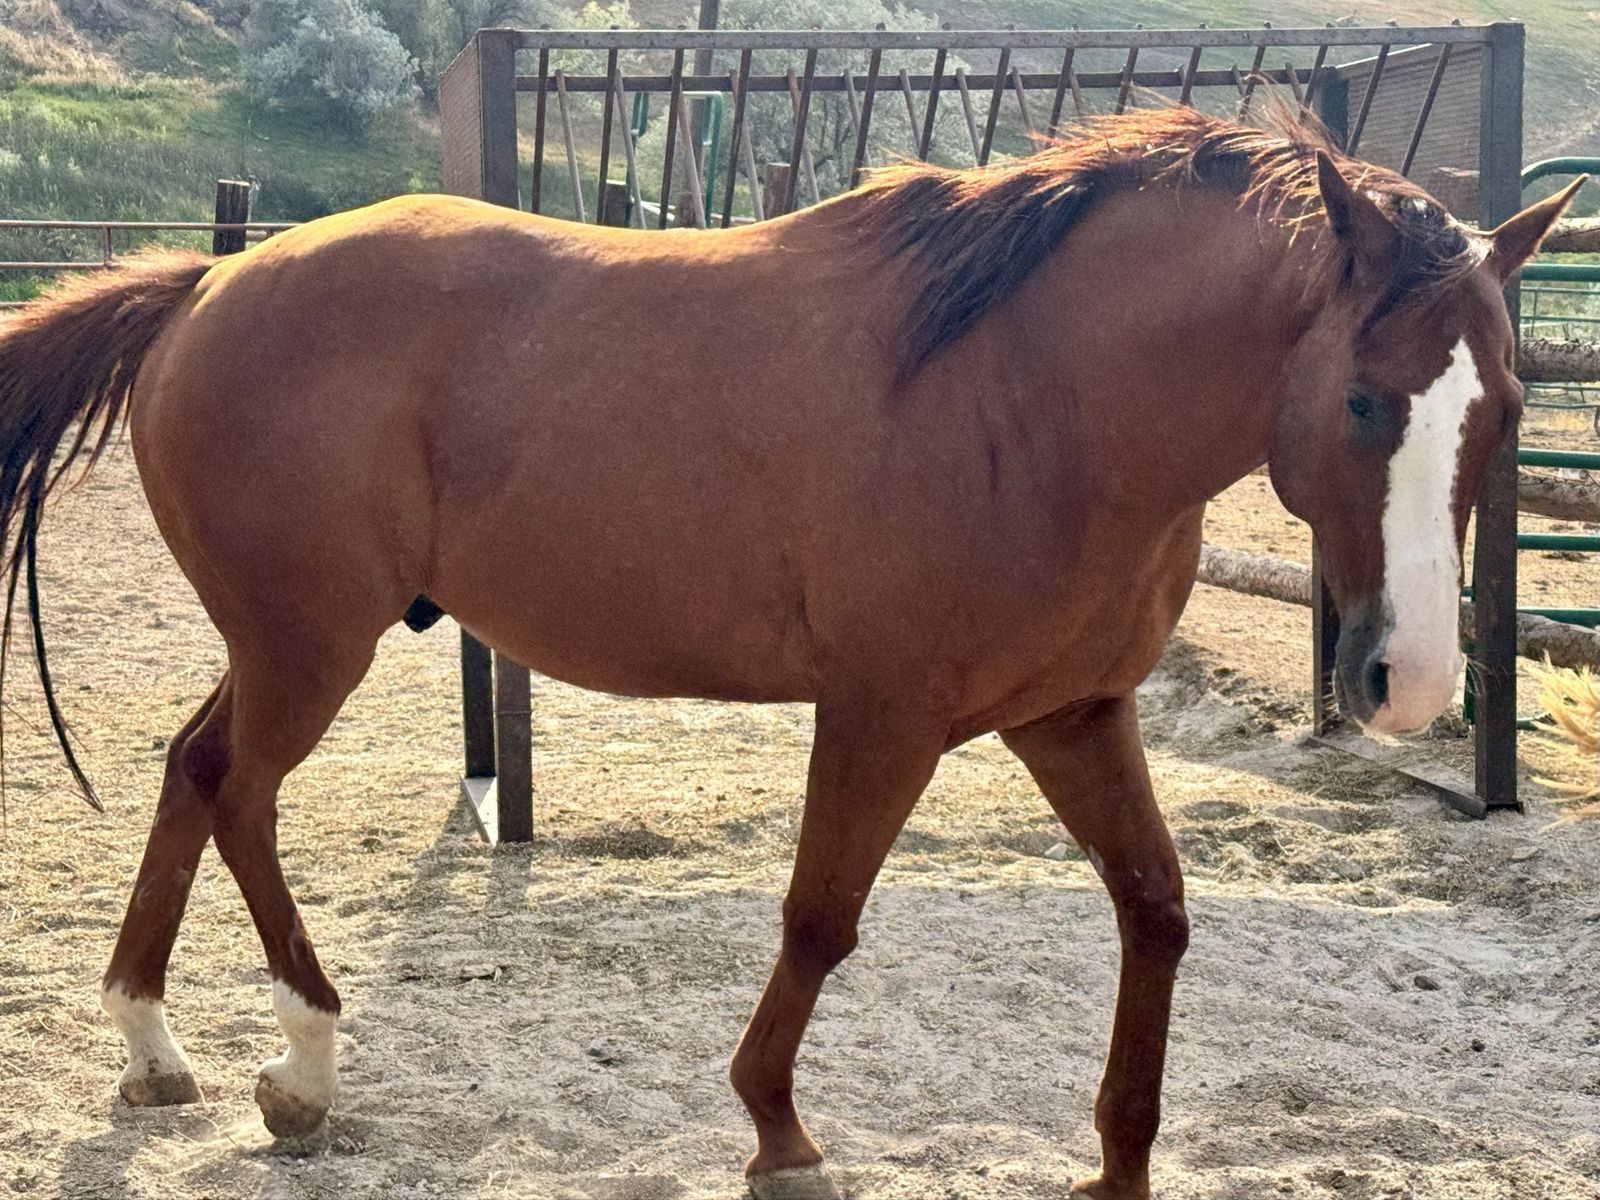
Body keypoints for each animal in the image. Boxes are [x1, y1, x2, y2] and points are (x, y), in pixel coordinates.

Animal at [0, 106, 1578, 1200]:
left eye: (1503, 408)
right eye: (1365, 400)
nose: (1410, 684)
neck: (1036, 399)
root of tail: (204, 291)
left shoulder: (1073, 715)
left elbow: (1158, 912)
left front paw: (1118, 1159)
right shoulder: (882, 715)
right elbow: (821, 921)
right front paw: (778, 1132)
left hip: (278, 641)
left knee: (191, 771)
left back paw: (155, 1049)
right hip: (309, 644)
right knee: (239, 790)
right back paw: (306, 1064)